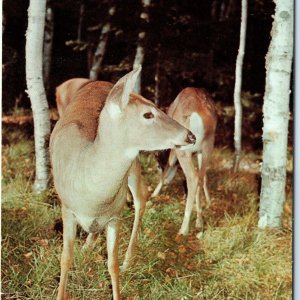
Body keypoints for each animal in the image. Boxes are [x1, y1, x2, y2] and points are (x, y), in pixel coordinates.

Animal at [49, 66, 196, 300]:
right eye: (148, 114)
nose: (191, 136)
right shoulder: (67, 209)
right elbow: (65, 259)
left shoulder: (115, 216)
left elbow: (112, 264)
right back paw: (87, 246)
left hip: (134, 164)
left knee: (141, 197)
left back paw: (128, 258)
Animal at [151, 88, 217, 236]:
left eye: (157, 159)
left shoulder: (173, 150)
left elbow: (169, 166)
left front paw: (154, 193)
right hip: (207, 147)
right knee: (201, 177)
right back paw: (199, 222)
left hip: (184, 149)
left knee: (193, 177)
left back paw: (184, 229)